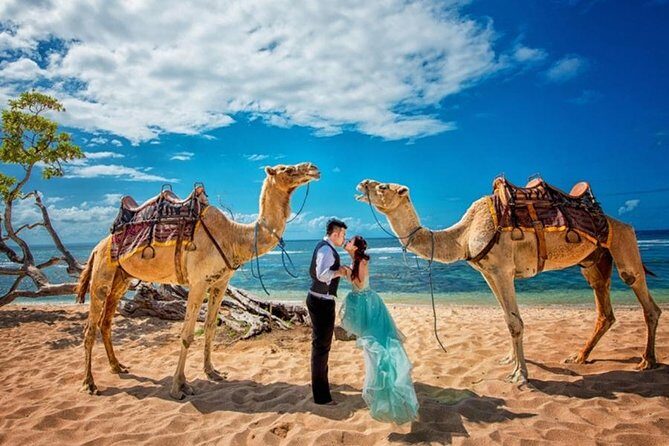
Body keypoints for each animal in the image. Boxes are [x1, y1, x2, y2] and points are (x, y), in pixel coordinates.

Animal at [77, 162, 320, 399]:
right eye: (286, 169)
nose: (313, 168)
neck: (233, 237)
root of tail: (97, 247)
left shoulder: (220, 283)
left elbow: (211, 328)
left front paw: (212, 371)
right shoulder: (198, 282)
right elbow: (186, 335)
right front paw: (179, 386)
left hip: (122, 278)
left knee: (106, 322)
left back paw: (117, 366)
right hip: (102, 273)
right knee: (90, 327)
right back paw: (89, 383)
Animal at [356, 179, 661, 384]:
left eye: (383, 186)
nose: (363, 183)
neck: (464, 234)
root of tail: (622, 223)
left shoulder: (503, 269)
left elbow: (516, 322)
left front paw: (520, 375)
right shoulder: (488, 272)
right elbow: (507, 319)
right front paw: (510, 360)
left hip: (623, 242)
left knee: (643, 296)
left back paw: (647, 361)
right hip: (594, 260)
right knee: (603, 306)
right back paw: (579, 356)